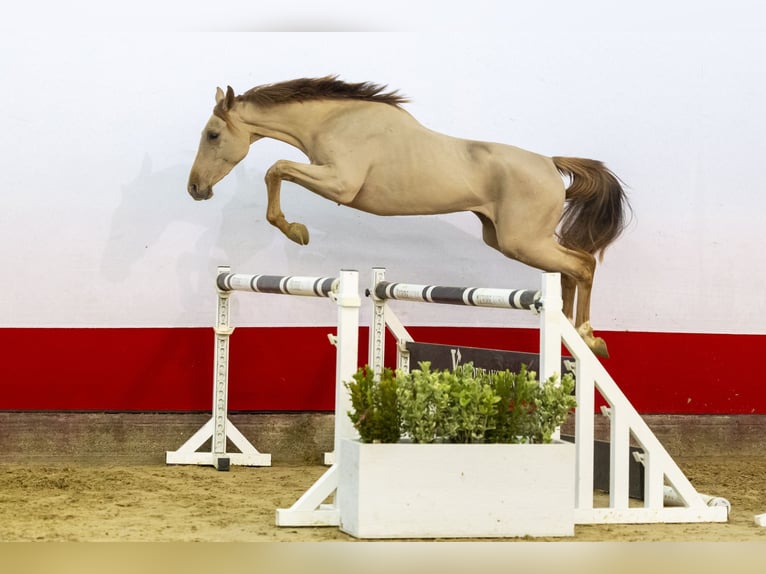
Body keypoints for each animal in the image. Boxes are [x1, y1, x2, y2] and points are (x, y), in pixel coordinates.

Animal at [188, 76, 632, 356]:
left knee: (583, 264)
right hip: (510, 240)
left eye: (213, 134)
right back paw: (573, 334)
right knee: (570, 270)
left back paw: (588, 337)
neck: (333, 121)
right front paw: (295, 229)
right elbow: (277, 170)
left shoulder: (339, 184)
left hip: (522, 241)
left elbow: (275, 168)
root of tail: (550, 164)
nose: (195, 189)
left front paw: (296, 231)